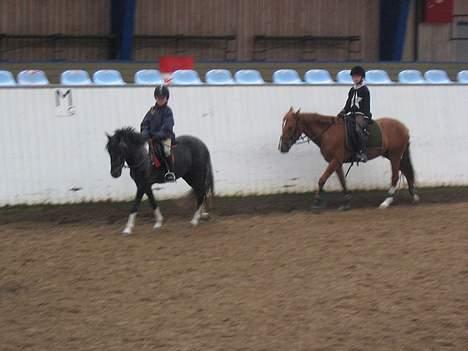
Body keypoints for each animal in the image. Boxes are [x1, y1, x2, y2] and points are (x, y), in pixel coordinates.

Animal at [280, 107, 418, 210]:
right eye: (283, 125)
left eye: (290, 127)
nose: (282, 147)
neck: (327, 133)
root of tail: (403, 127)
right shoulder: (336, 162)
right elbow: (342, 181)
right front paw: (346, 202)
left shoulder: (335, 160)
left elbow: (322, 179)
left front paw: (316, 202)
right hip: (391, 155)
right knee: (405, 171)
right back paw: (414, 196)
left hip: (395, 155)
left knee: (395, 176)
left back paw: (386, 201)